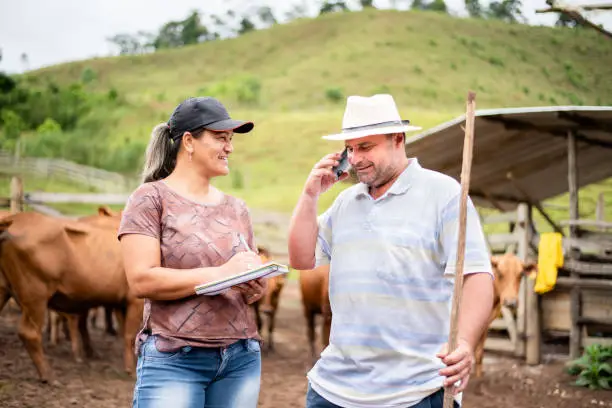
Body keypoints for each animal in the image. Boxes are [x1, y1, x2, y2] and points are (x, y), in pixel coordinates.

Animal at [0, 209, 143, 384]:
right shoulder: (135, 301)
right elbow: (131, 335)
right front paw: (132, 371)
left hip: (5, 289)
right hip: (35, 295)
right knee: (30, 334)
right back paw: (49, 376)